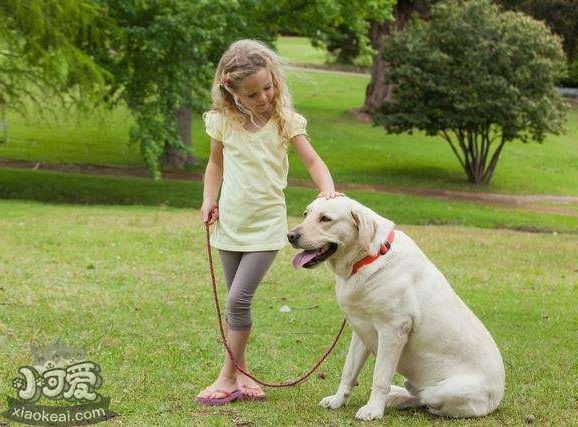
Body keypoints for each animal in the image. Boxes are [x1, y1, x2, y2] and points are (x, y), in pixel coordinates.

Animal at [286, 197, 502, 422]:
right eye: (305, 214)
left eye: (325, 219)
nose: (290, 236)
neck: (369, 258)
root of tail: (498, 397)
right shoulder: (360, 331)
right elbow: (348, 372)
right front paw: (338, 400)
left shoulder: (393, 331)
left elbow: (380, 377)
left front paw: (373, 410)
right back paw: (397, 395)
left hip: (443, 392)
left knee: (425, 399)